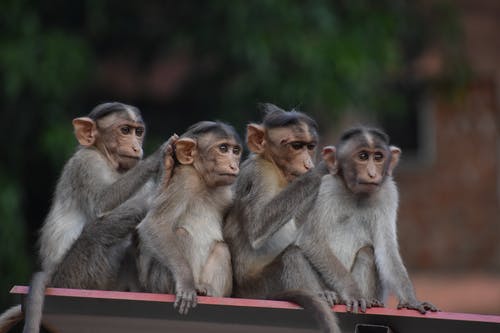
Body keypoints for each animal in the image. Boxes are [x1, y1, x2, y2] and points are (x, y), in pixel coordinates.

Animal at [0, 102, 178, 332]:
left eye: (138, 132)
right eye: (125, 130)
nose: (136, 147)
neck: (107, 159)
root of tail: (53, 275)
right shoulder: (87, 163)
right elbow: (102, 204)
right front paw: (161, 162)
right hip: (76, 274)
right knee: (99, 232)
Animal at [137, 120, 242, 316]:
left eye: (236, 151)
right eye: (223, 148)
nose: (234, 165)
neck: (203, 181)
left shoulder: (227, 194)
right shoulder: (185, 180)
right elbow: (154, 224)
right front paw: (186, 283)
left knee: (222, 248)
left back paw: (208, 291)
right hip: (161, 283)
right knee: (181, 233)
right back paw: (194, 287)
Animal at [223, 104, 368, 332]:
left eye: (310, 146)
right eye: (296, 146)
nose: (308, 163)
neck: (277, 169)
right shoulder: (259, 174)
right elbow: (257, 228)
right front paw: (323, 168)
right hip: (263, 288)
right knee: (292, 253)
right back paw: (320, 293)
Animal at [296, 125, 438, 314]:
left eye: (378, 157)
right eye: (362, 156)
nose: (372, 173)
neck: (357, 195)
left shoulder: (388, 193)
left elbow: (386, 250)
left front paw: (411, 301)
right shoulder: (326, 188)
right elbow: (312, 240)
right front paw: (353, 293)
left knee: (367, 252)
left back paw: (372, 301)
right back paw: (329, 295)